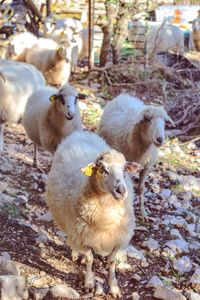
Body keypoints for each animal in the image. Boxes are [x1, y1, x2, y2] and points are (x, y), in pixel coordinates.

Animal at [46, 131, 141, 298]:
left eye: (125, 169)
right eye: (102, 169)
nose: (121, 190)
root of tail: (82, 132)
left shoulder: (118, 239)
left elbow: (111, 262)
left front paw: (114, 288)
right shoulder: (83, 237)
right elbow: (90, 258)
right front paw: (89, 283)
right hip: (70, 225)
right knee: (72, 239)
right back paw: (76, 254)